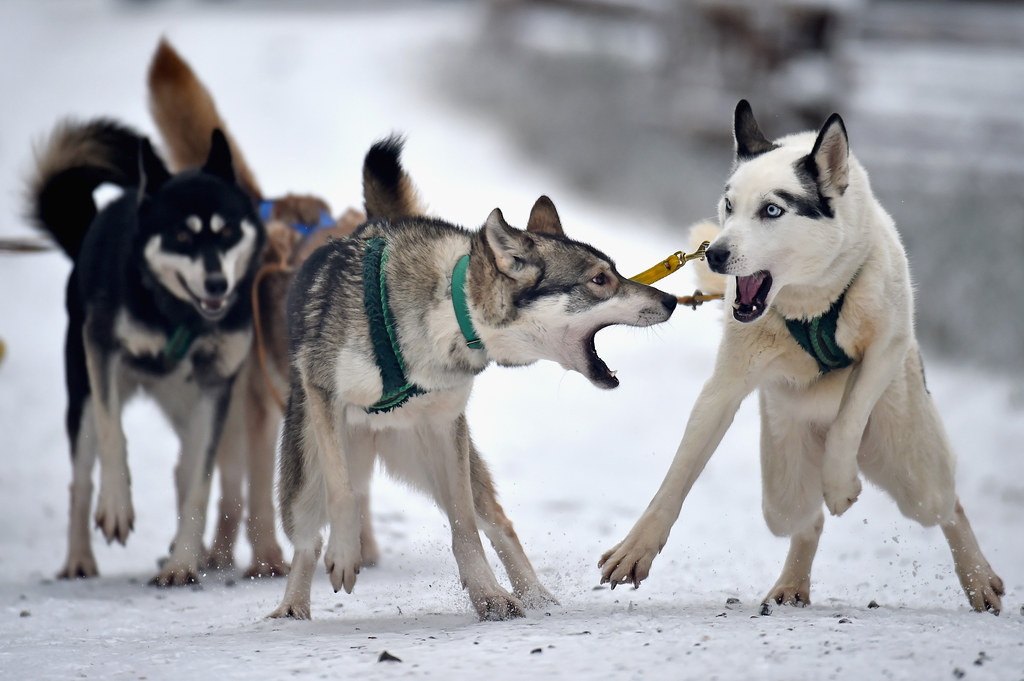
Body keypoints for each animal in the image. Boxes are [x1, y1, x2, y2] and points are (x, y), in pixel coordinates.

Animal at [29, 117, 266, 586]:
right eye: (181, 235)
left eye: (228, 231)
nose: (217, 284)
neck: (180, 318)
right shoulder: (101, 351)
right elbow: (113, 436)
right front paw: (116, 506)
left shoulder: (215, 388)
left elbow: (199, 484)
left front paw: (183, 562)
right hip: (82, 393)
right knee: (81, 480)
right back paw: (79, 557)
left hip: (189, 404)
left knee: (185, 469)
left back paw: (188, 550)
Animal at [147, 38, 365, 577]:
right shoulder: (267, 413)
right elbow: (262, 491)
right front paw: (269, 558)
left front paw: (361, 549)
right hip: (238, 413)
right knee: (230, 488)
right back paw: (227, 555)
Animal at [269, 137, 678, 620]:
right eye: (600, 279)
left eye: (615, 272)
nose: (672, 300)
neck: (450, 307)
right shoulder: (324, 394)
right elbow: (344, 494)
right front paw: (346, 555)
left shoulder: (447, 428)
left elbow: (464, 525)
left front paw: (488, 595)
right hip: (305, 479)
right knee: (308, 539)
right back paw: (292, 608)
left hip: (444, 461)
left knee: (498, 522)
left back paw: (535, 596)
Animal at [598, 100, 1004, 614]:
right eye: (729, 206)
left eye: (772, 210)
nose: (715, 255)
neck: (811, 301)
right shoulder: (724, 388)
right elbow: (678, 474)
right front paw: (638, 547)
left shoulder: (886, 346)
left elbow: (850, 415)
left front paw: (840, 482)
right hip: (781, 484)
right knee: (803, 518)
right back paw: (793, 583)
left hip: (909, 464)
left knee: (946, 504)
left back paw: (979, 578)